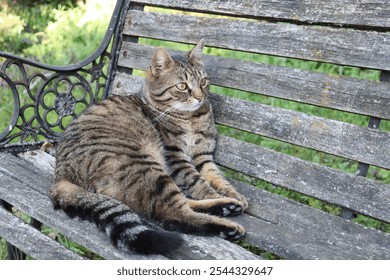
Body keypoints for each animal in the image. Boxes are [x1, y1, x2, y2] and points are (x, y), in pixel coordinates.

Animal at [51, 40, 247, 256]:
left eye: (203, 82)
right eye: (182, 86)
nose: (200, 97)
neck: (191, 119)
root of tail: (60, 174)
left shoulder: (203, 156)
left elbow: (216, 177)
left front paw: (233, 194)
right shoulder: (176, 157)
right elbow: (198, 182)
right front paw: (215, 194)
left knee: (179, 206)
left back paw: (228, 206)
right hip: (147, 167)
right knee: (173, 215)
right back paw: (227, 223)